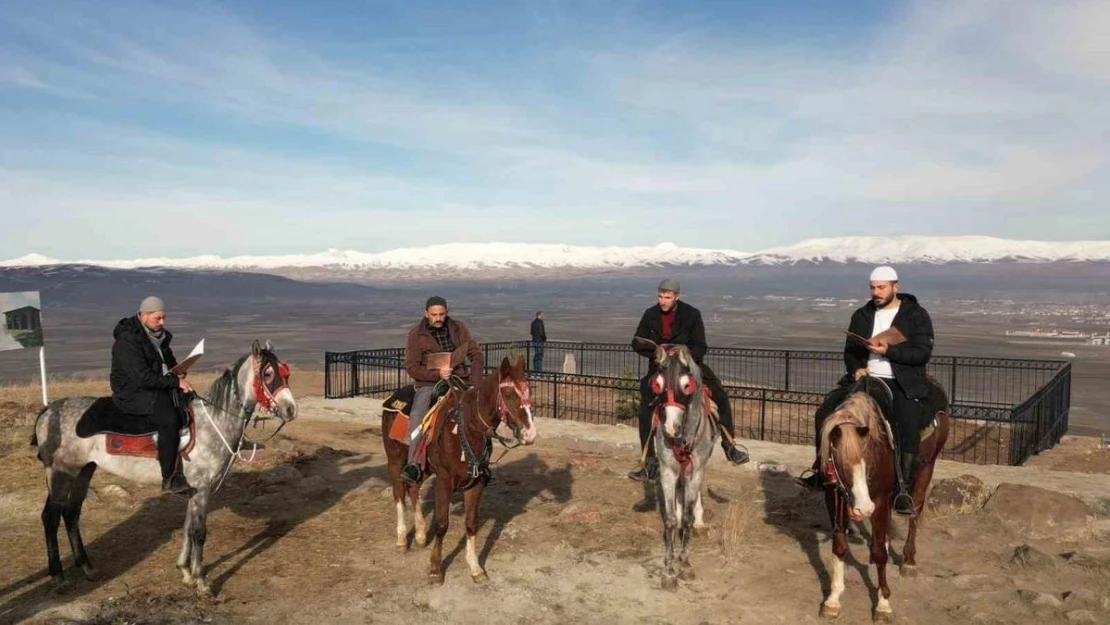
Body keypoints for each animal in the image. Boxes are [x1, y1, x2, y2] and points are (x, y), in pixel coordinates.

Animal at [30, 339, 297, 595]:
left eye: (285, 372)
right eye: (268, 374)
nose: (291, 409)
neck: (214, 421)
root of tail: (48, 411)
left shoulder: (193, 491)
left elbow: (187, 528)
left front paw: (185, 573)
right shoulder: (202, 490)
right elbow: (199, 533)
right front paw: (201, 582)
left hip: (84, 472)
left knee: (71, 514)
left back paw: (87, 567)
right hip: (61, 474)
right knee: (51, 518)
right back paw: (58, 577)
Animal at [381, 357, 537, 586]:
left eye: (528, 391)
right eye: (508, 393)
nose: (530, 433)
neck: (466, 428)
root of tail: (393, 398)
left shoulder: (476, 484)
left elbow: (471, 523)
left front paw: (475, 568)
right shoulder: (444, 481)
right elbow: (441, 524)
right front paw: (435, 569)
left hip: (423, 467)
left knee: (413, 488)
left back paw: (420, 534)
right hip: (394, 460)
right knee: (399, 494)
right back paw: (402, 539)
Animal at [643, 341, 719, 590]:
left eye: (686, 386)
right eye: (657, 385)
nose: (669, 429)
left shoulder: (695, 471)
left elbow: (686, 517)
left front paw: (684, 563)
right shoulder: (668, 471)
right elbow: (670, 519)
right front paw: (668, 569)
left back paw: (699, 520)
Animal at [821, 375, 950, 621]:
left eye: (869, 457)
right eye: (840, 463)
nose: (863, 509)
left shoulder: (880, 498)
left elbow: (879, 553)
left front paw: (883, 603)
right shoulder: (834, 496)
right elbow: (839, 546)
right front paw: (833, 599)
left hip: (926, 469)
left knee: (915, 514)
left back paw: (908, 561)